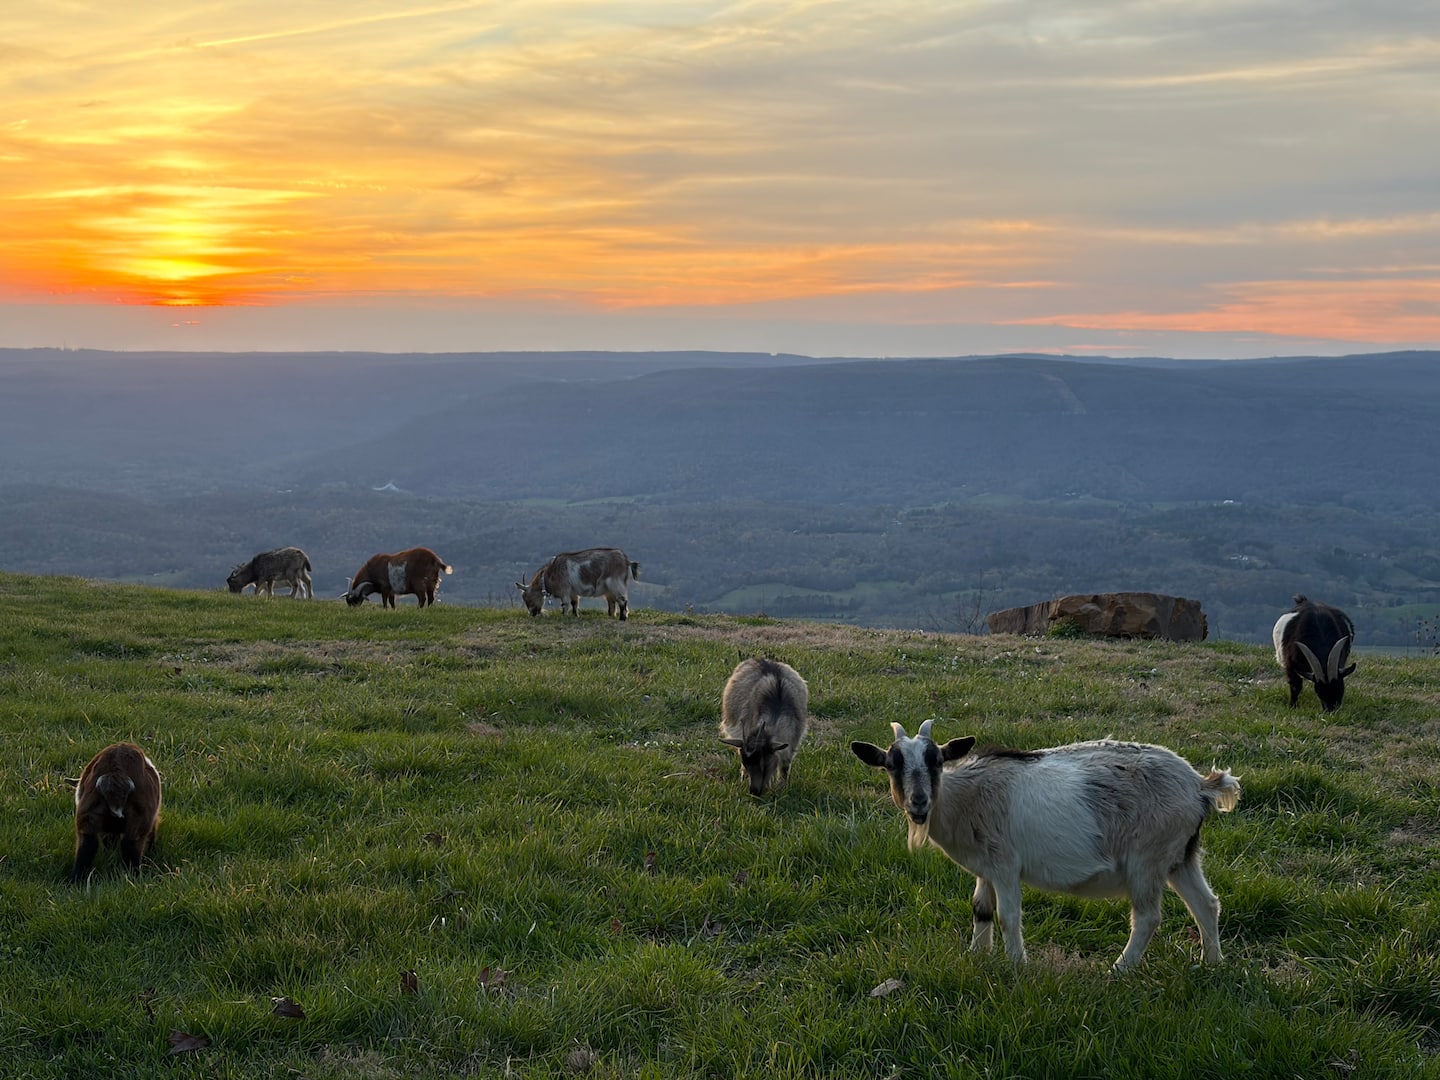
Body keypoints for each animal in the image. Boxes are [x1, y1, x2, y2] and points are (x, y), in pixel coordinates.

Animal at [70, 742, 162, 884]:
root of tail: (116, 771)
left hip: (88, 815)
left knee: (87, 845)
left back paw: (77, 880)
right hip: (139, 817)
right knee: (130, 845)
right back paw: (135, 878)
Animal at [719, 658, 809, 795]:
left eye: (765, 763)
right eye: (746, 763)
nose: (754, 791)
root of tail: (759, 659)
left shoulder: (792, 743)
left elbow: (784, 767)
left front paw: (782, 788)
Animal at [851, 721, 1240, 970]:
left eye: (936, 760)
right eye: (891, 764)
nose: (918, 803)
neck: (965, 797)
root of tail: (1199, 786)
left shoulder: (1005, 864)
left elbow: (1008, 916)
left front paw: (1016, 965)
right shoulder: (985, 867)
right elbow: (980, 909)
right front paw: (977, 956)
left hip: (1148, 858)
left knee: (1147, 917)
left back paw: (1119, 969)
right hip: (1181, 856)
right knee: (1207, 904)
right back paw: (1211, 963)